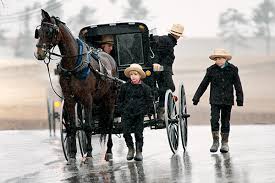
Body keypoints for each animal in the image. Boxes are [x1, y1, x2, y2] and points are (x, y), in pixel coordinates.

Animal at [34, 9, 117, 162]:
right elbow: (72, 126)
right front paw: (72, 153)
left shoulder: (87, 98)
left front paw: (89, 154)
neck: (73, 65)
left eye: (49, 31)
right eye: (38, 32)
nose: (39, 53)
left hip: (110, 97)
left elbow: (88, 126)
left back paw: (108, 151)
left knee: (109, 123)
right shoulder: (69, 98)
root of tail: (110, 57)